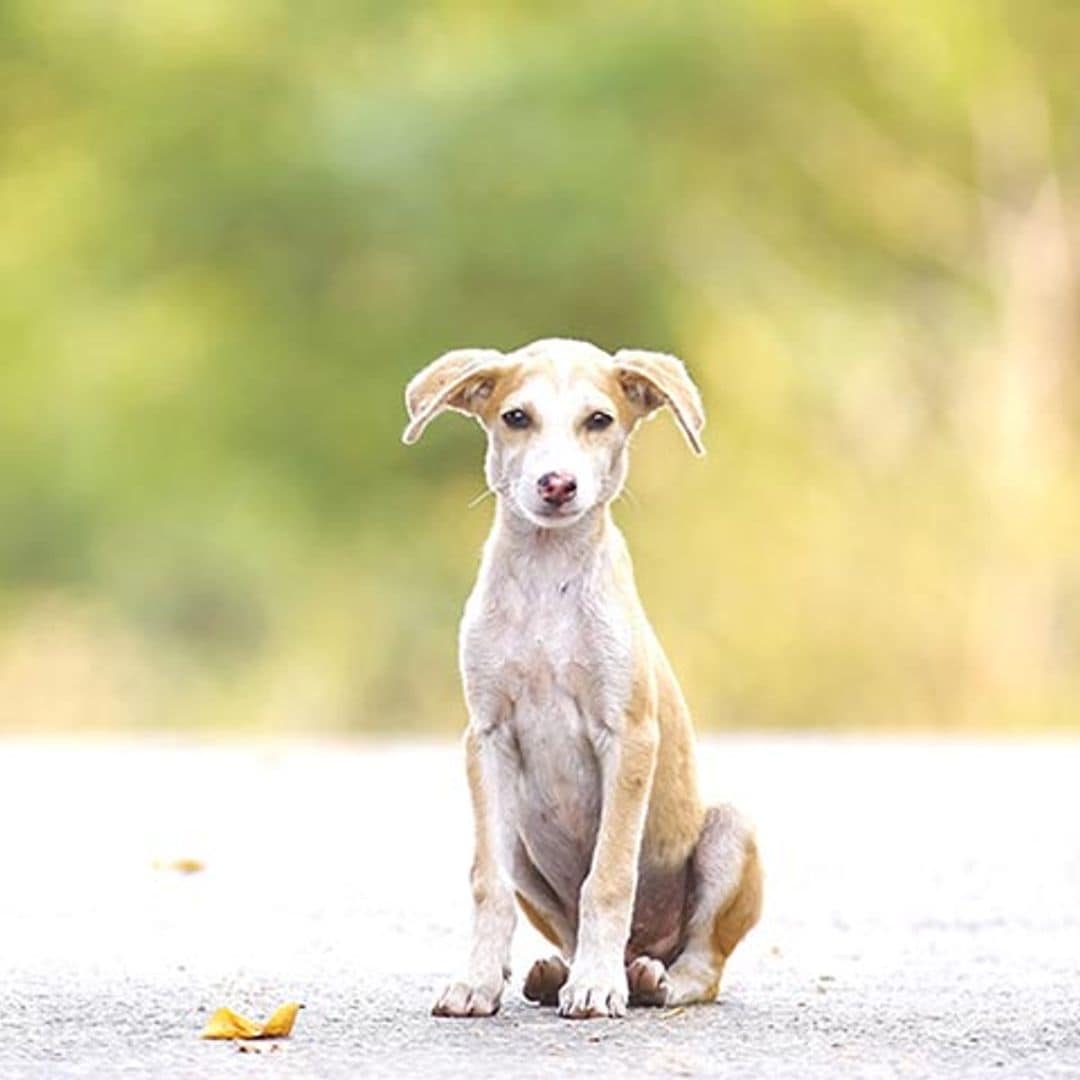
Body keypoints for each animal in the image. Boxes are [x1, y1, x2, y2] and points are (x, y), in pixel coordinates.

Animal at [401, 336, 764, 1019]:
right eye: (516, 417)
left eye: (599, 420)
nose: (557, 484)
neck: (548, 578)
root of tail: (649, 947)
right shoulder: (486, 738)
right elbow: (486, 882)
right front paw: (478, 981)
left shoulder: (628, 736)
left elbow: (610, 875)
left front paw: (597, 985)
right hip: (523, 838)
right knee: (563, 927)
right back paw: (558, 973)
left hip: (729, 832)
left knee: (704, 964)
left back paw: (645, 979)